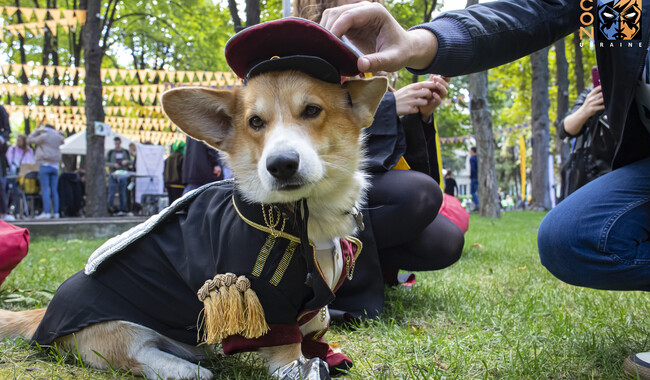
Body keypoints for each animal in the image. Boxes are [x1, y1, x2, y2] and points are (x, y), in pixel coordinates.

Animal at [0, 69, 384, 380]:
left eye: (312, 110)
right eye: (255, 122)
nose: (281, 165)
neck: (302, 216)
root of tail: (45, 313)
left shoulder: (315, 304)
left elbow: (316, 327)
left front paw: (324, 357)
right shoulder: (268, 301)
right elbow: (286, 348)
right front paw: (299, 369)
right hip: (117, 326)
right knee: (134, 354)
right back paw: (186, 369)